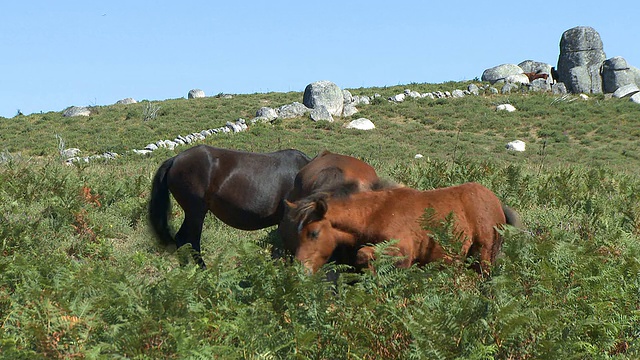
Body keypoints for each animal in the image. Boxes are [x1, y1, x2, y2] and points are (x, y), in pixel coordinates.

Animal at [284, 181, 520, 274]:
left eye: (314, 233)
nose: (299, 270)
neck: (376, 214)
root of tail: (497, 203)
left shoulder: (402, 251)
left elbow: (364, 255)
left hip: (484, 257)